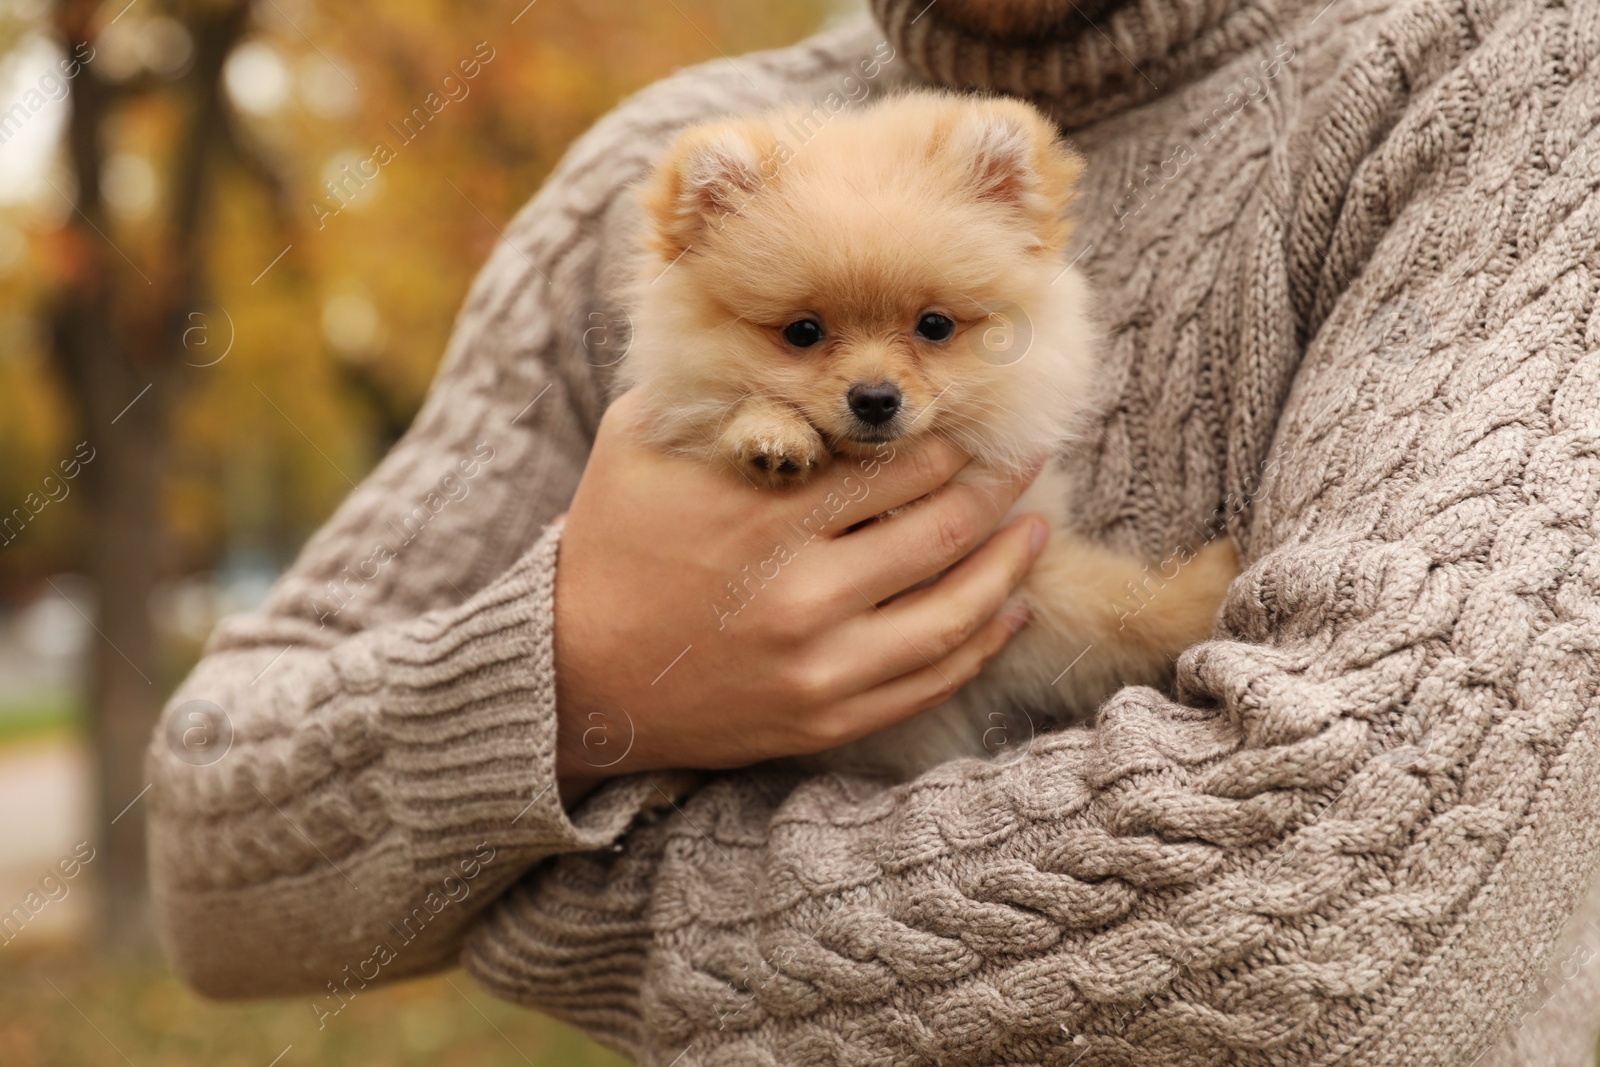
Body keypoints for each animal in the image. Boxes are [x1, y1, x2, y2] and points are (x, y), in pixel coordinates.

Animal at [614, 91, 1235, 777]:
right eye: (802, 333)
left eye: (934, 325)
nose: (875, 398)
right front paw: (772, 436)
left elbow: (1116, 610)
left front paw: (1208, 589)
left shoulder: (1018, 584)